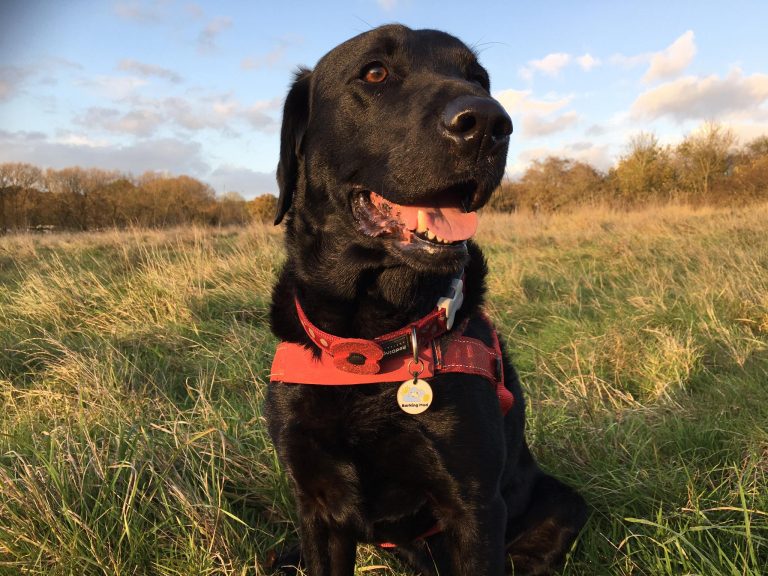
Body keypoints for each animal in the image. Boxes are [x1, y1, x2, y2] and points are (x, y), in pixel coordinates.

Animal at [266, 24, 588, 572]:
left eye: (478, 77)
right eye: (375, 72)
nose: (488, 122)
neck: (369, 343)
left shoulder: (474, 505)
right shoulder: (315, 501)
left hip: (562, 504)